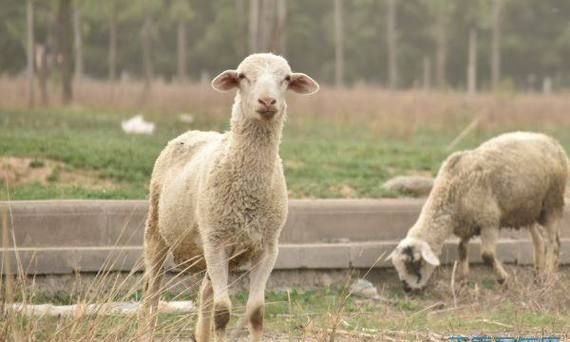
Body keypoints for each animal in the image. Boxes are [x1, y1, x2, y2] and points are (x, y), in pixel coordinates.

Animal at [136, 52, 318, 340]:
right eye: (243, 76)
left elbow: (256, 312)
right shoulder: (217, 243)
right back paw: (146, 331)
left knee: (205, 293)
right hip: (158, 230)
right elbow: (223, 312)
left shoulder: (267, 247)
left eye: (286, 79)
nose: (268, 101)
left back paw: (201, 334)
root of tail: (193, 132)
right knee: (151, 292)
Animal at [388, 132, 564, 292]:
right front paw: (463, 281)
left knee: (553, 242)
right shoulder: (467, 224)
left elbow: (487, 255)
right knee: (539, 241)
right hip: (528, 210)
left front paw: (503, 280)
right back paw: (538, 277)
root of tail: (552, 141)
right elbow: (461, 249)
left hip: (552, 202)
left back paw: (549, 278)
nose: (407, 289)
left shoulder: (489, 221)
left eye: (415, 263)